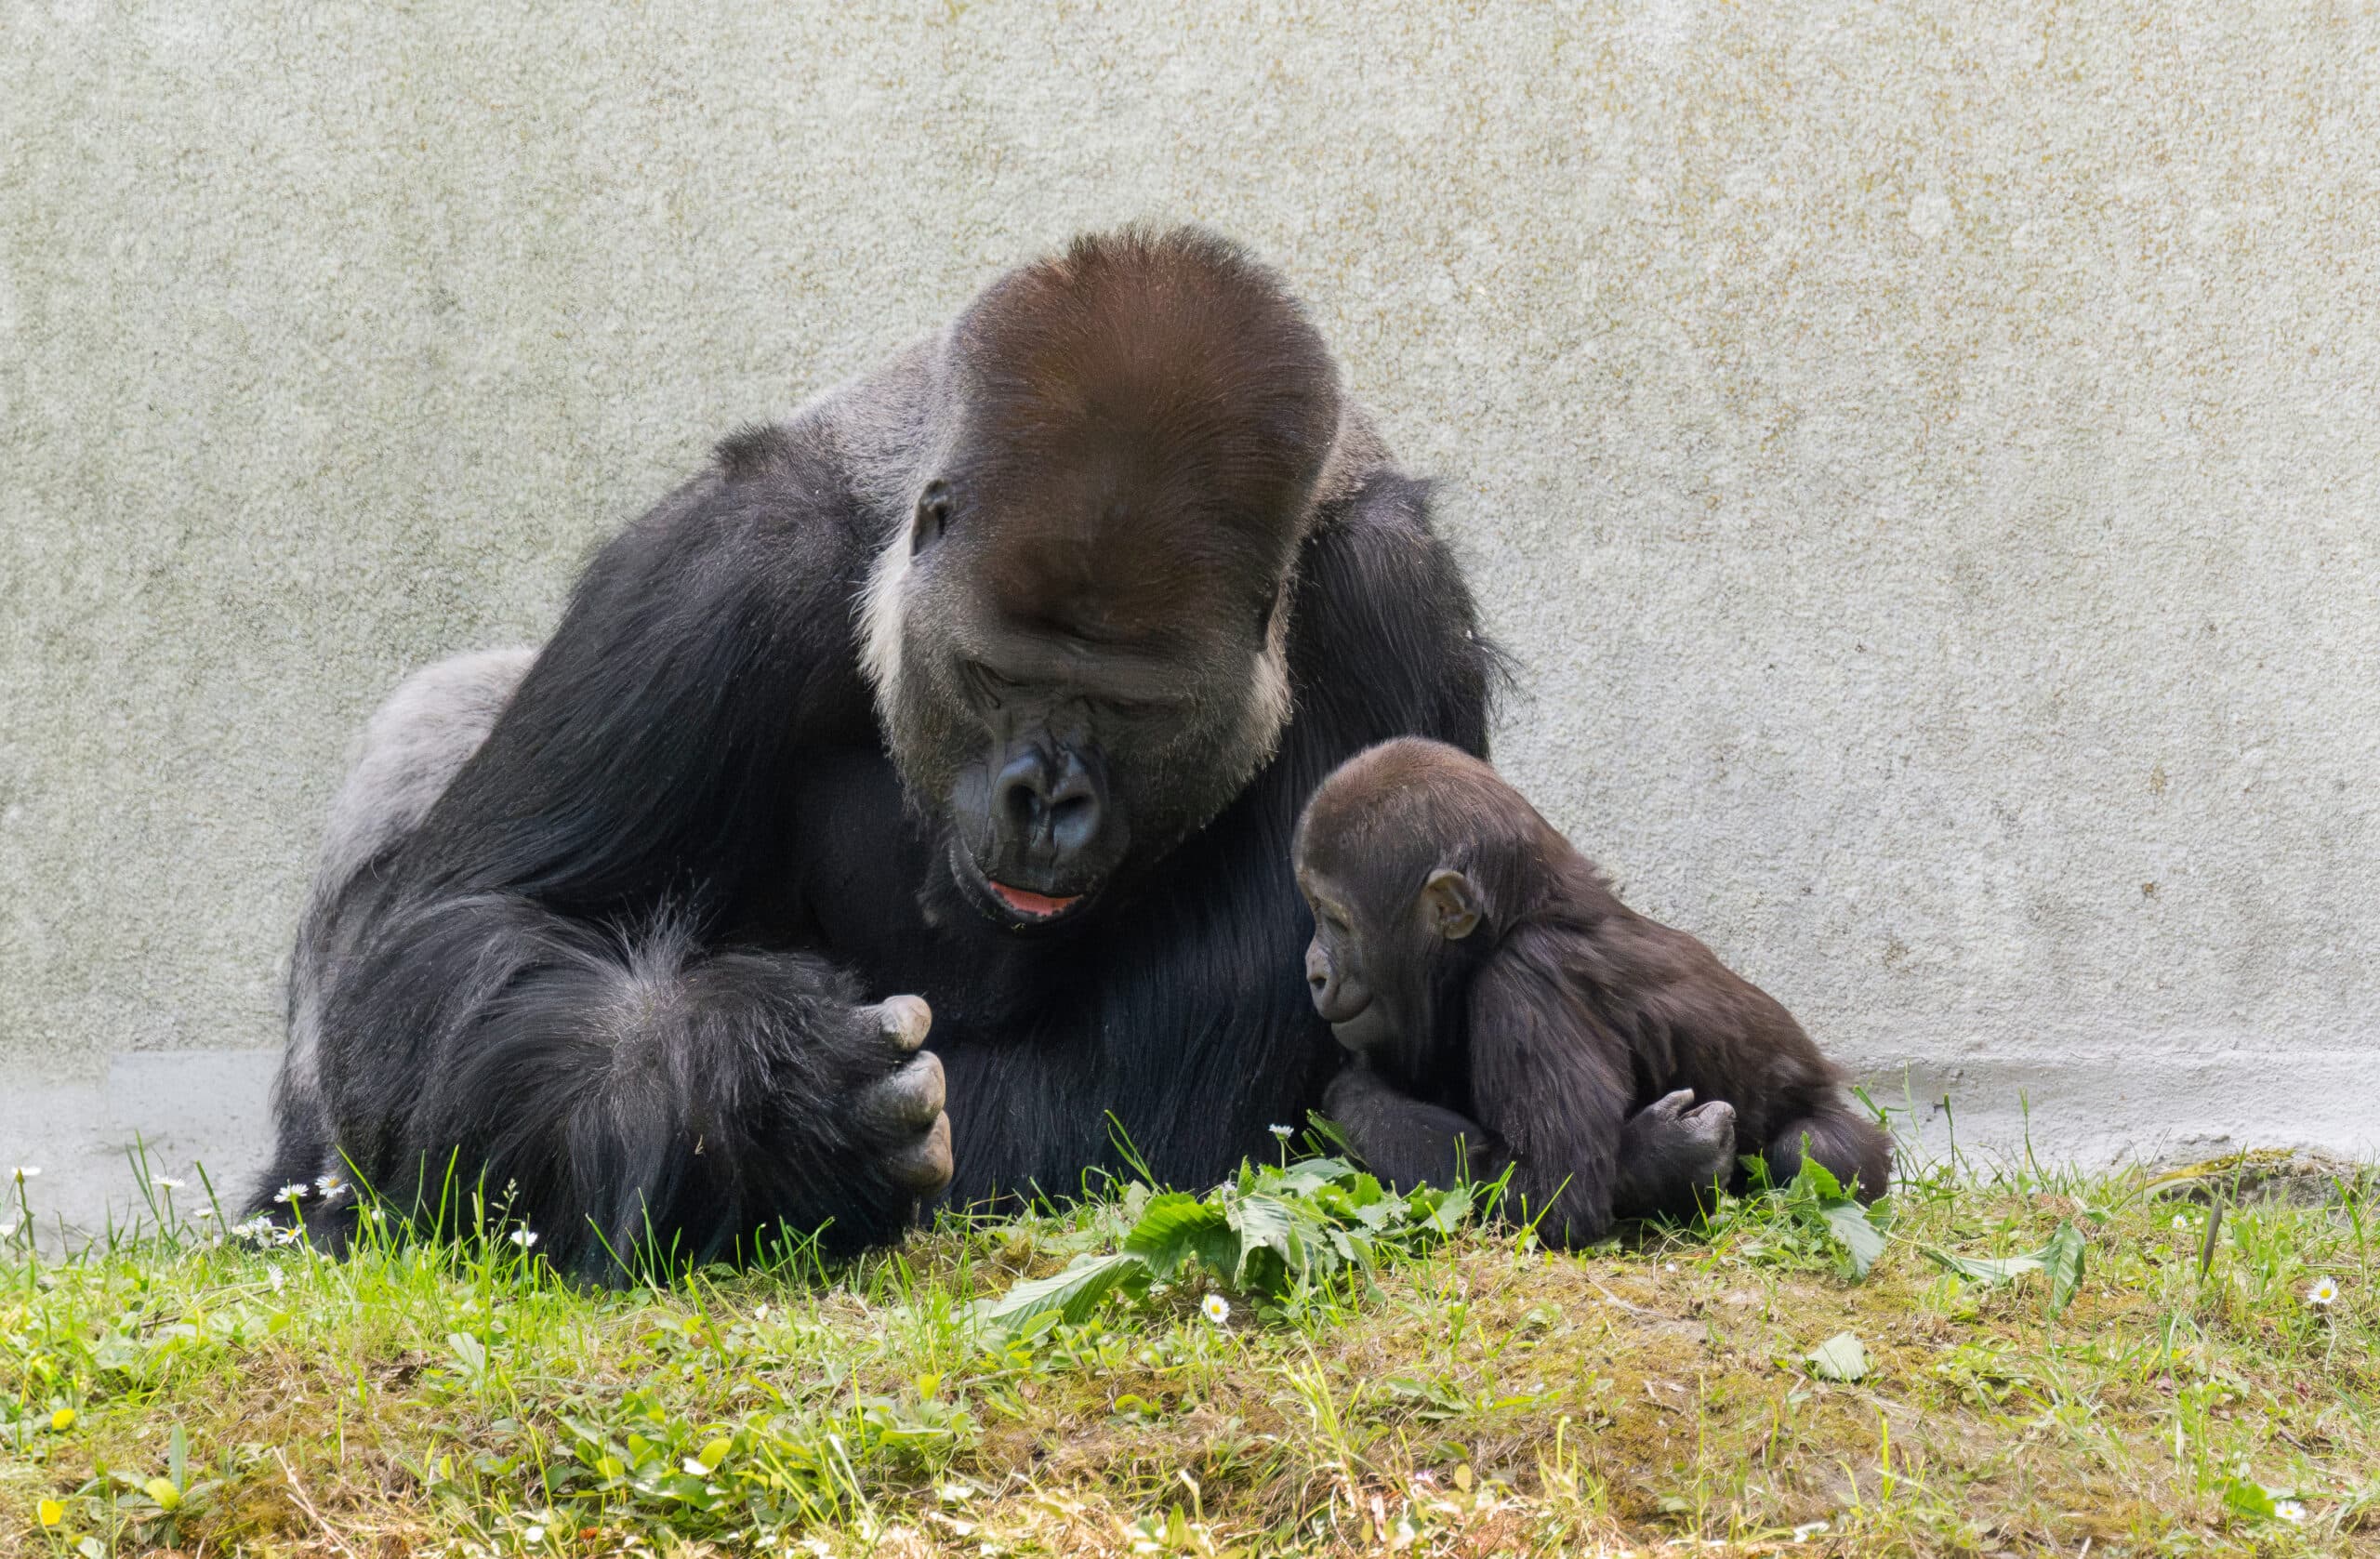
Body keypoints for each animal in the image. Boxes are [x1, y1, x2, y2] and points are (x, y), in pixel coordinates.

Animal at [1296, 737, 1894, 1247]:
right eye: (1314, 911)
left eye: (1336, 920)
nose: (1314, 973)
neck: (1519, 913)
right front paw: (1674, 1153)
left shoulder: (1524, 984)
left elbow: (1549, 1191)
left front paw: (1353, 1096)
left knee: (1810, 1151)